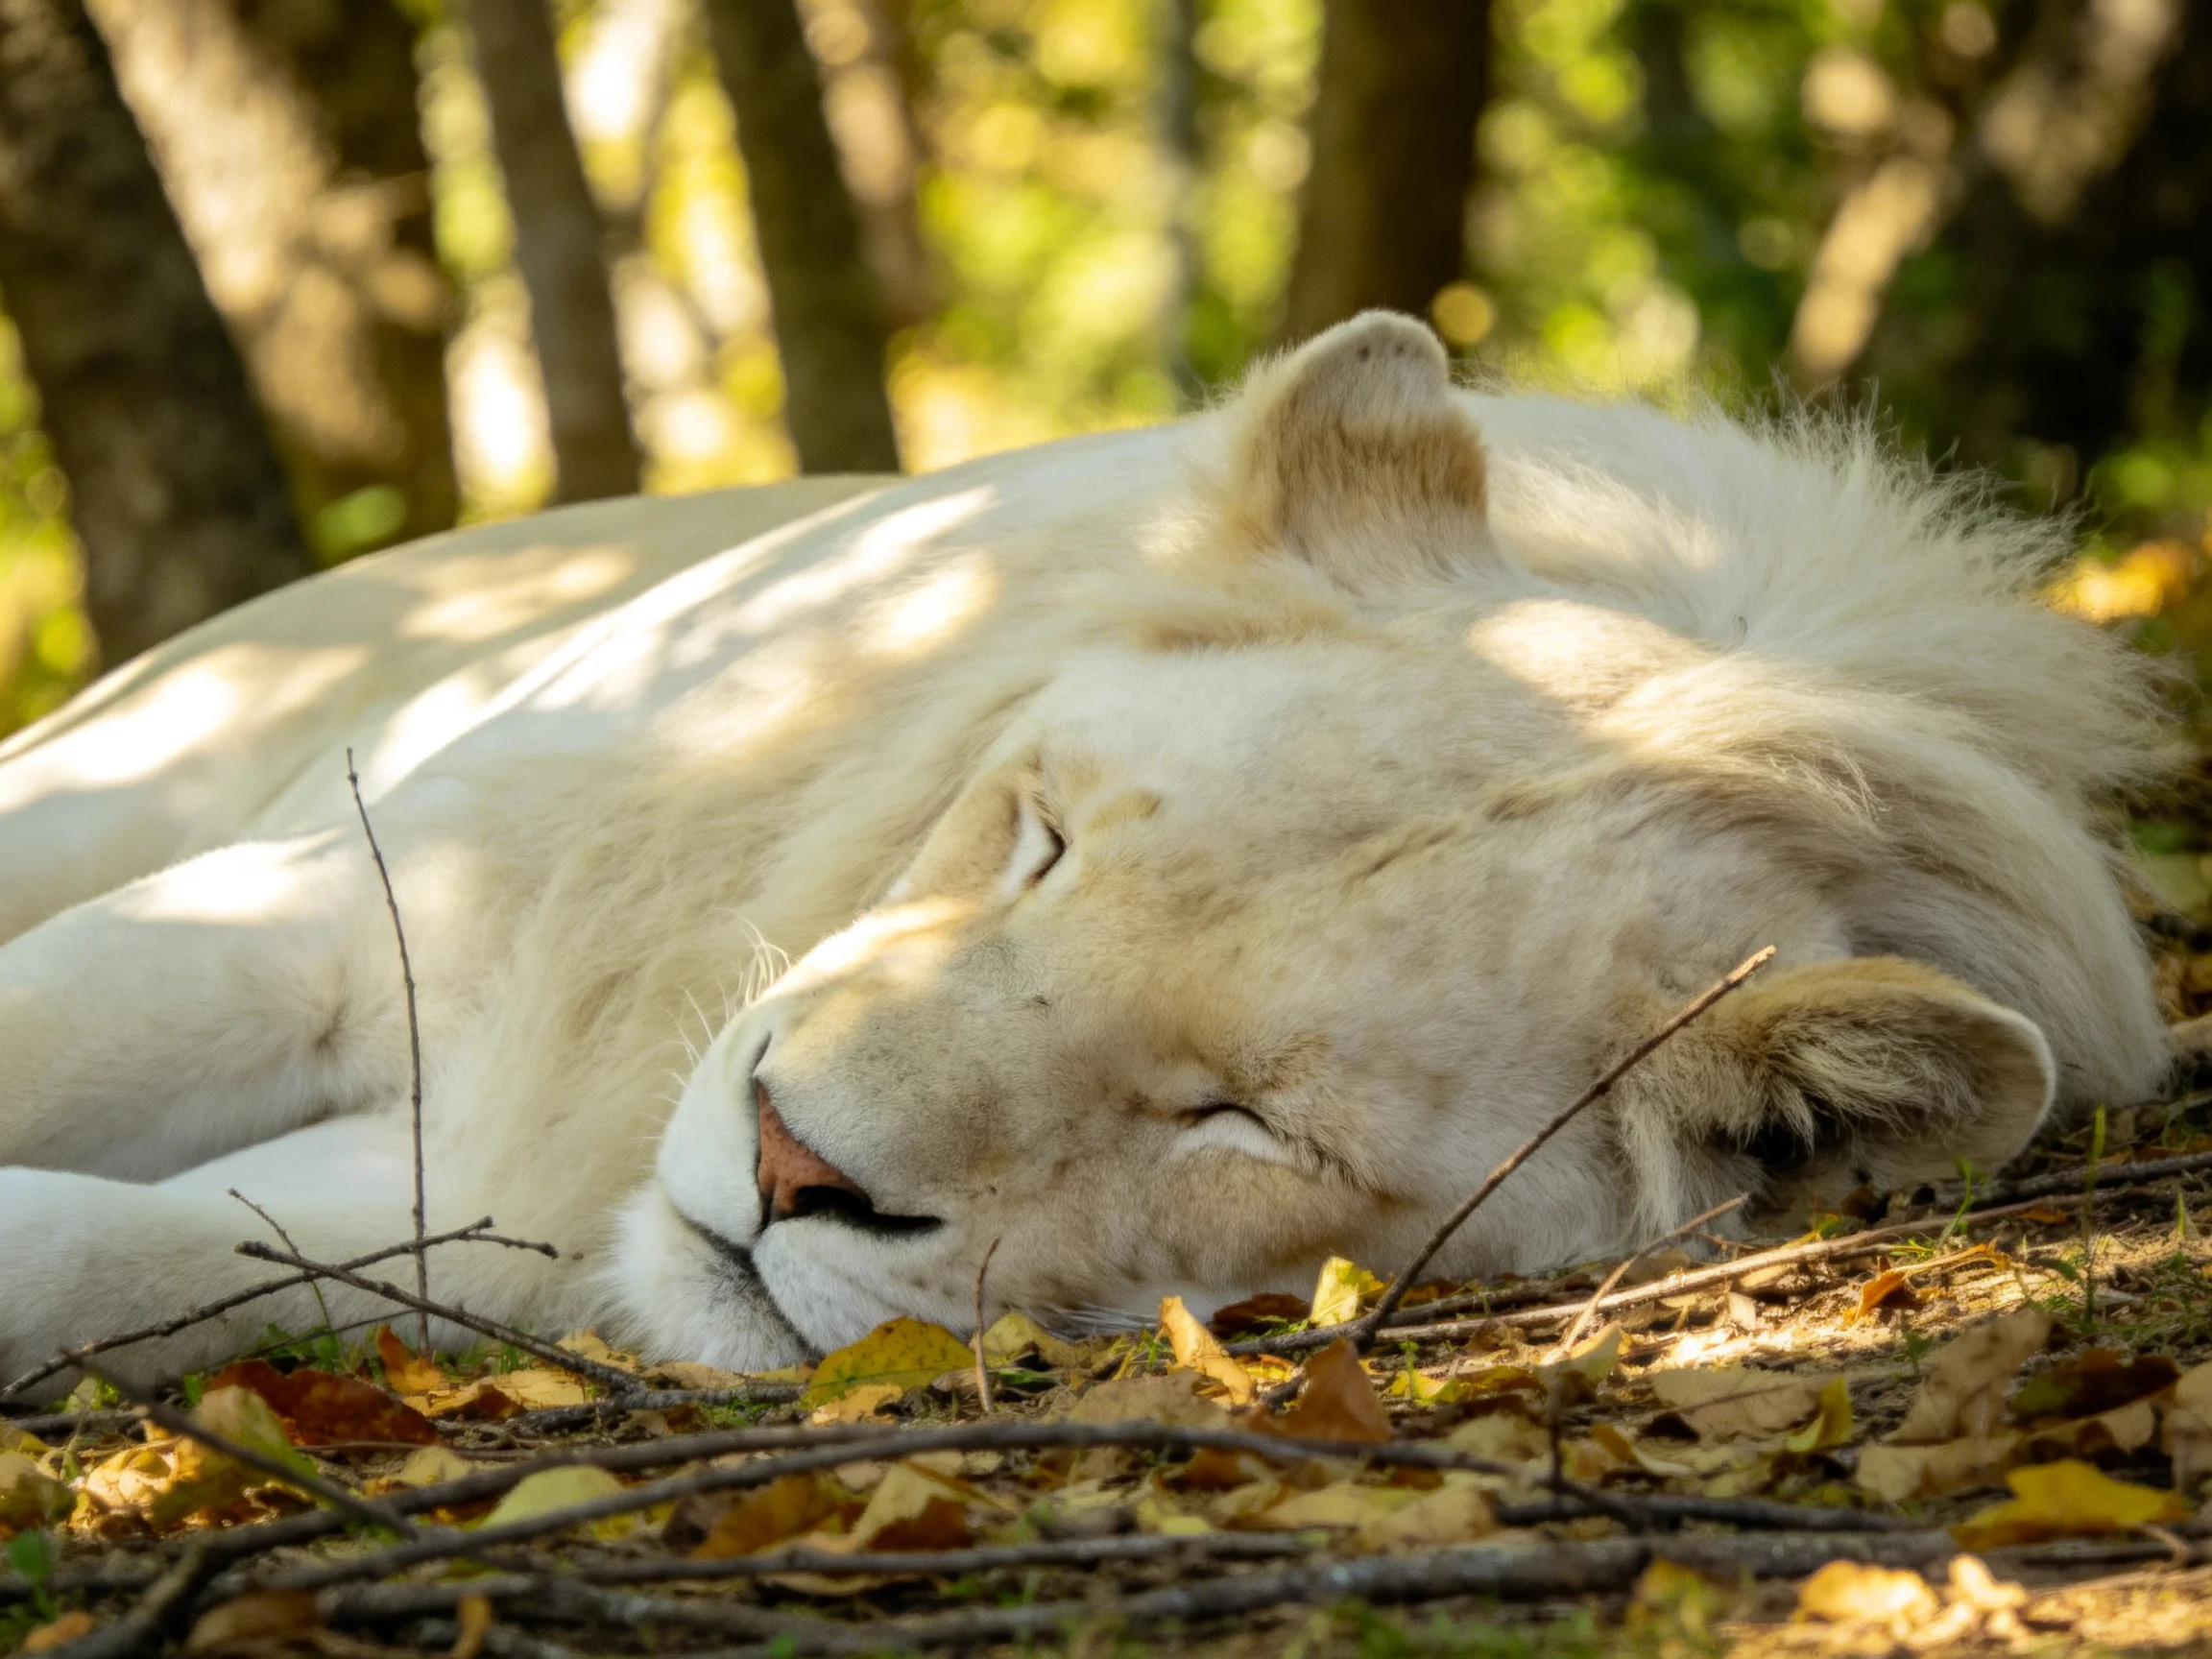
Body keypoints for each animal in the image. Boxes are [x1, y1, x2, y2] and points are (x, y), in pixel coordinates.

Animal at [0, 313, 2171, 1391]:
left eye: (1236, 1123)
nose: (785, 1168)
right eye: (1040, 838)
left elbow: (157, 1254)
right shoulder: (343, 919)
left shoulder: (490, 1187)